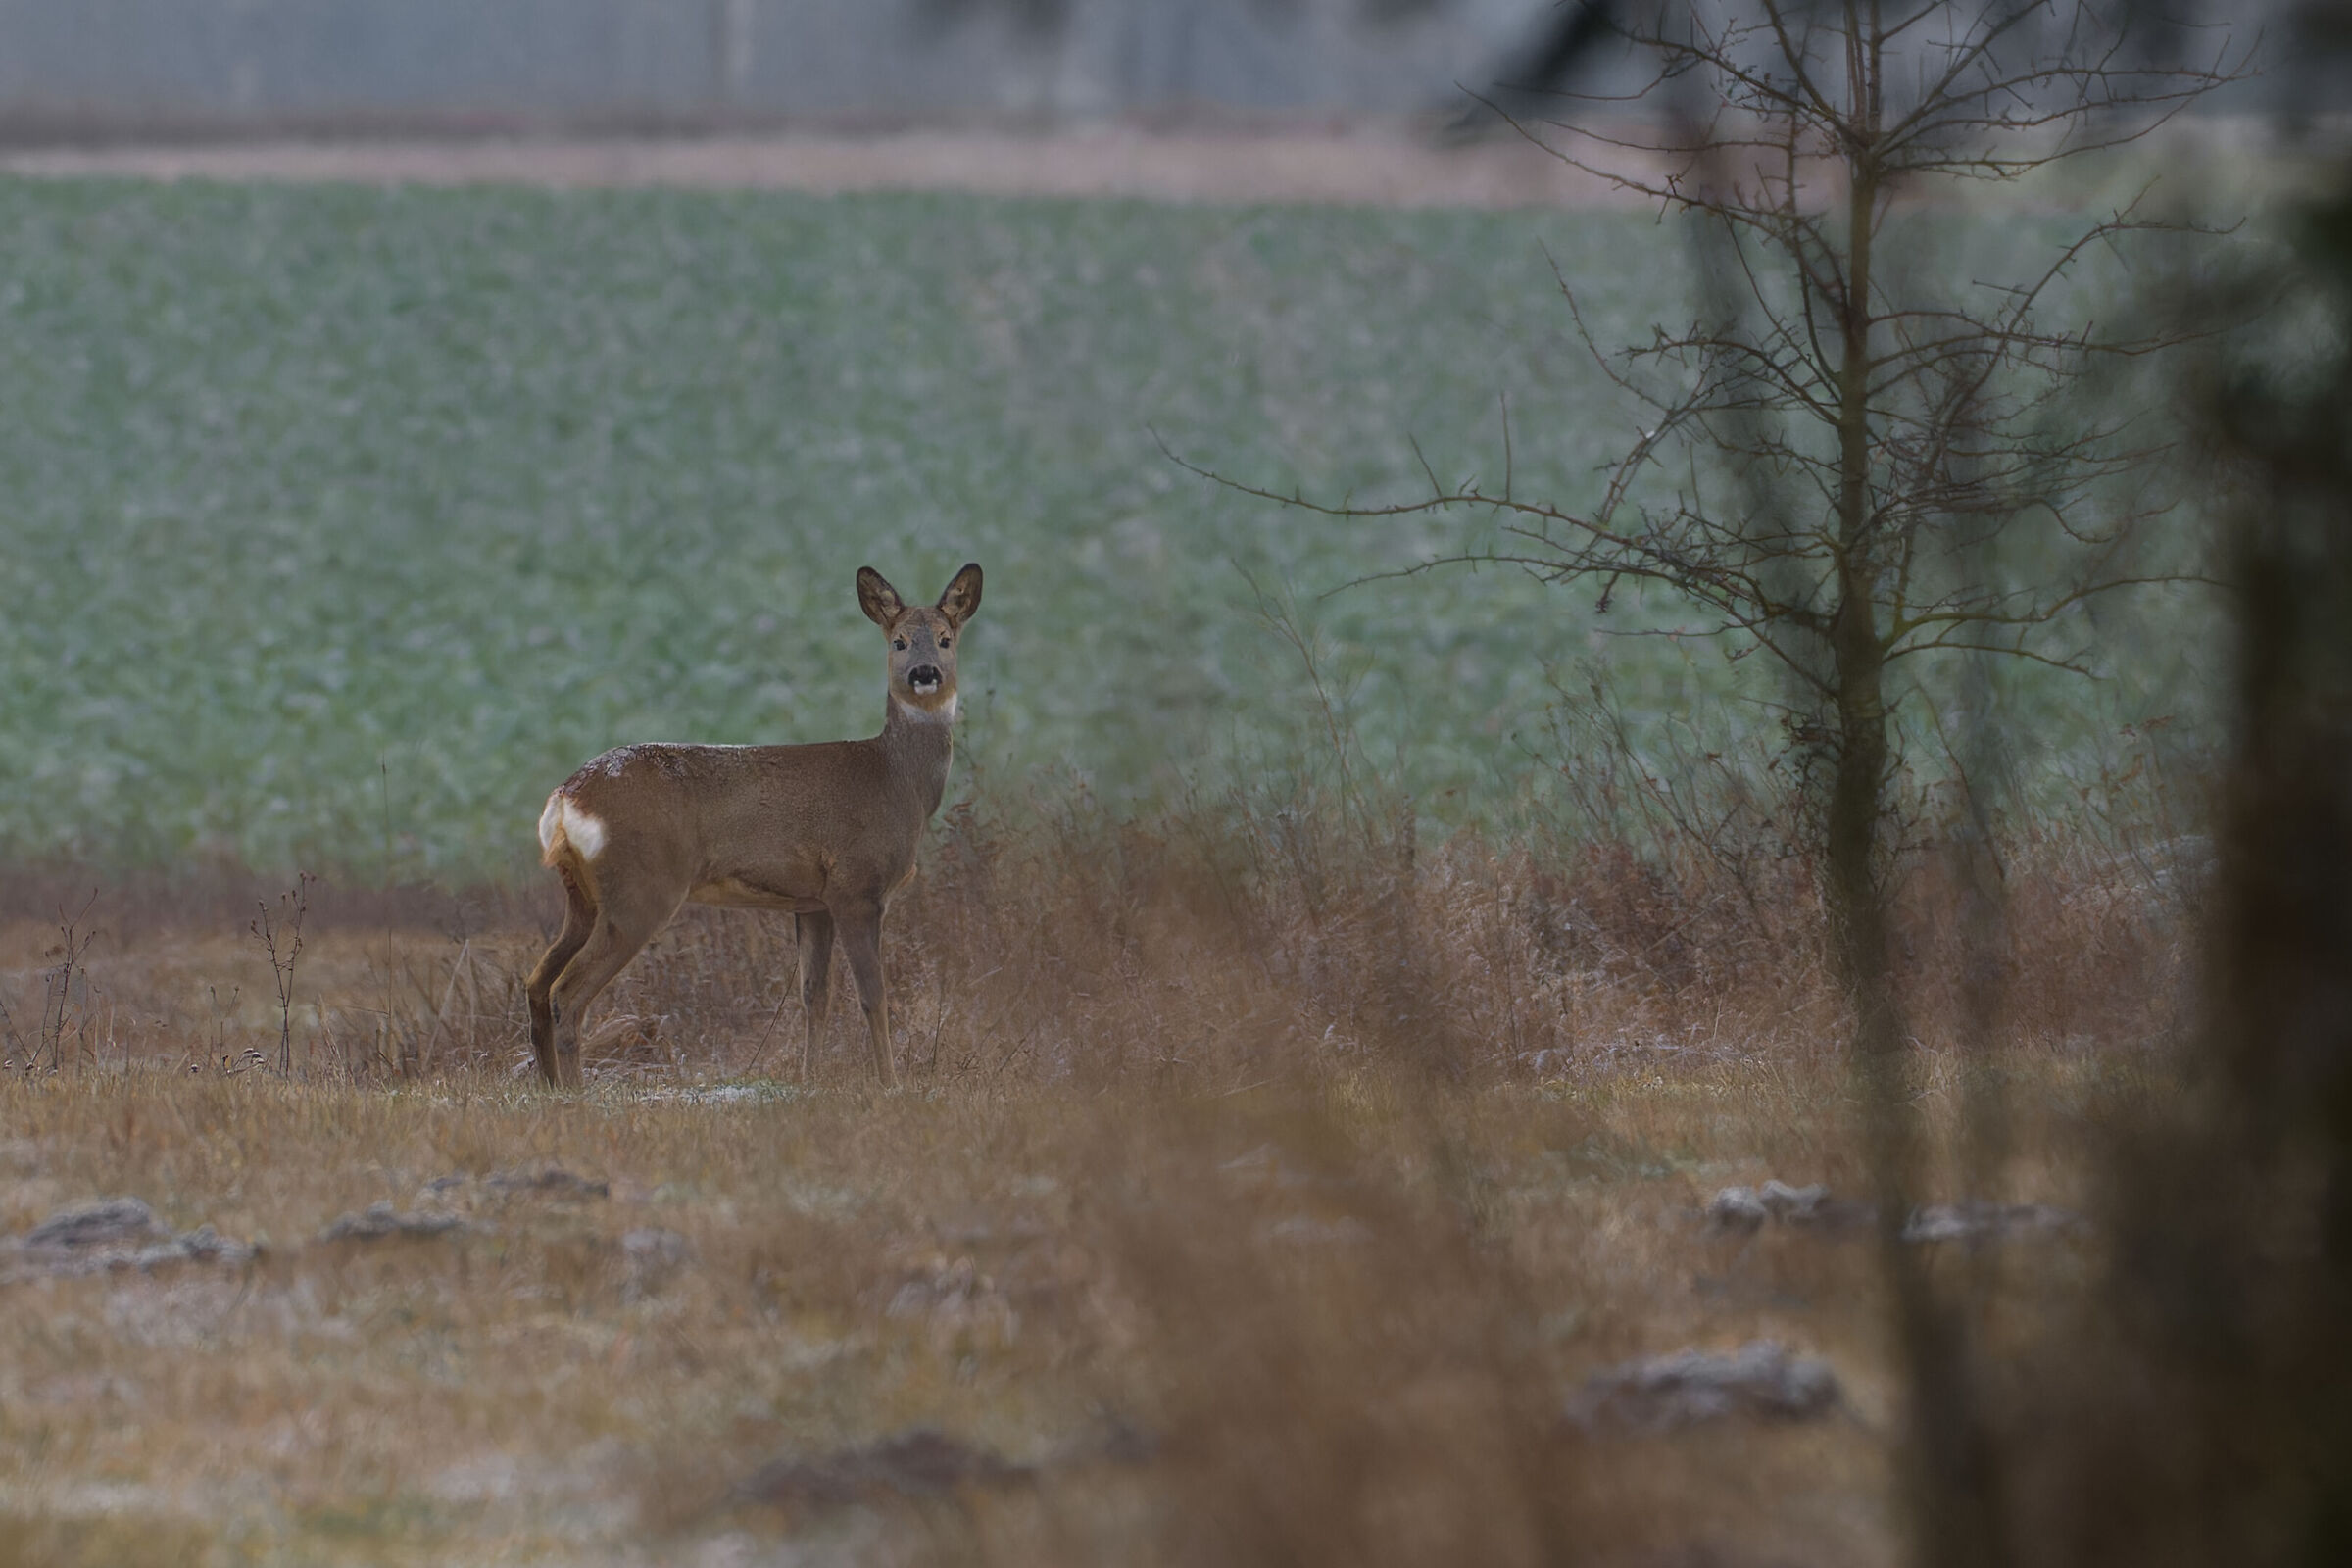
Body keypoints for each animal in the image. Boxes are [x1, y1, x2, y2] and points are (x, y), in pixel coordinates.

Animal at [525, 562, 982, 1090]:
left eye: (946, 639)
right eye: (899, 641)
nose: (924, 674)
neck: (896, 780)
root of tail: (564, 798)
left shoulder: (813, 902)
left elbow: (814, 995)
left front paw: (810, 1079)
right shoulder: (857, 886)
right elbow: (874, 994)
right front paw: (890, 1082)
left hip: (582, 896)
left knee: (536, 982)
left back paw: (550, 1088)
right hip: (640, 889)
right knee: (566, 992)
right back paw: (576, 1093)